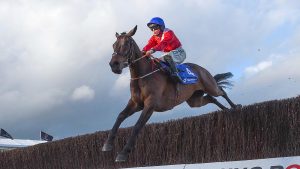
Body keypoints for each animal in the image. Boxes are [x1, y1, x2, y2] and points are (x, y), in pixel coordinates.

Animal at [103, 25, 241, 162]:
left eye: (127, 43)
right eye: (114, 44)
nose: (114, 65)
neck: (143, 74)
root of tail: (202, 69)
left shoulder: (150, 104)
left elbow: (137, 126)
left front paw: (123, 153)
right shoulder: (136, 103)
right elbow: (120, 116)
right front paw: (107, 144)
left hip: (210, 86)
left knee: (221, 91)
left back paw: (235, 106)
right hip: (194, 100)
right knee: (211, 98)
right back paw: (226, 110)